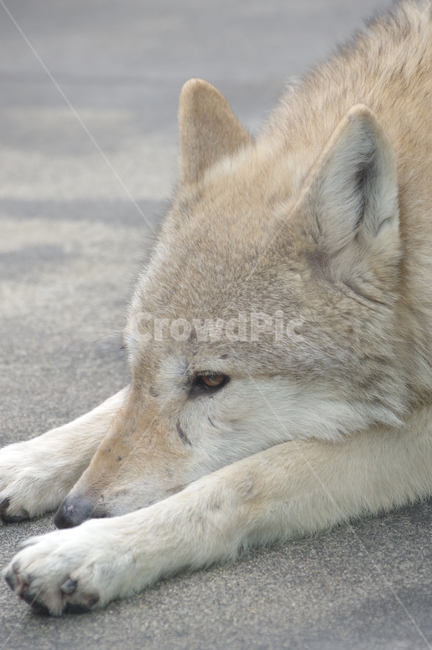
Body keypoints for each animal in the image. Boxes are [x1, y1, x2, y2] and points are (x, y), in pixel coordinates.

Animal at [2, 0, 432, 616]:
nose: (72, 513)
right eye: (133, 362)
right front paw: (23, 462)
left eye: (210, 381)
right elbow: (111, 409)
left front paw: (90, 549)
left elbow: (249, 479)